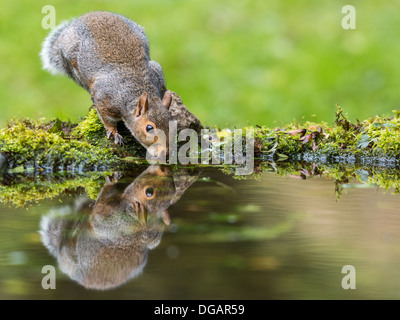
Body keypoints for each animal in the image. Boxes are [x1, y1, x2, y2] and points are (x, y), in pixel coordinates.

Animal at [39, 11, 173, 158]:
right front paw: (114, 133)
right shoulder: (105, 98)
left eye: (172, 124)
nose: (166, 153)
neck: (135, 90)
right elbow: (107, 120)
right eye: (149, 128)